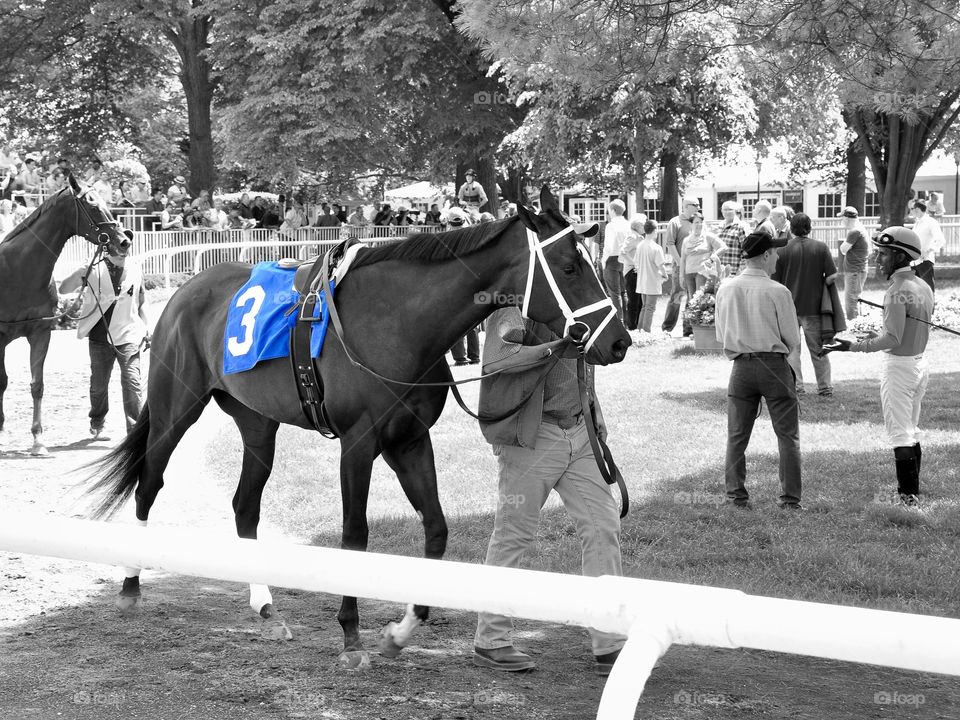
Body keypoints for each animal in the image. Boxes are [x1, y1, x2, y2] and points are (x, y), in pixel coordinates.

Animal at [0, 176, 127, 452]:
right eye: (92, 206)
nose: (124, 240)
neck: (17, 270)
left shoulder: (40, 332)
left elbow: (37, 385)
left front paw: (38, 439)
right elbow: (1, 381)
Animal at [88, 186, 632, 668]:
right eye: (569, 267)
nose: (620, 342)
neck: (395, 322)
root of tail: (186, 290)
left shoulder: (409, 440)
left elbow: (437, 529)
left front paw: (399, 632)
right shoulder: (358, 441)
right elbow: (355, 535)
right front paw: (351, 637)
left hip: (257, 423)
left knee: (245, 505)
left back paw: (267, 609)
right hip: (175, 408)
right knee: (148, 484)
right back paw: (131, 586)